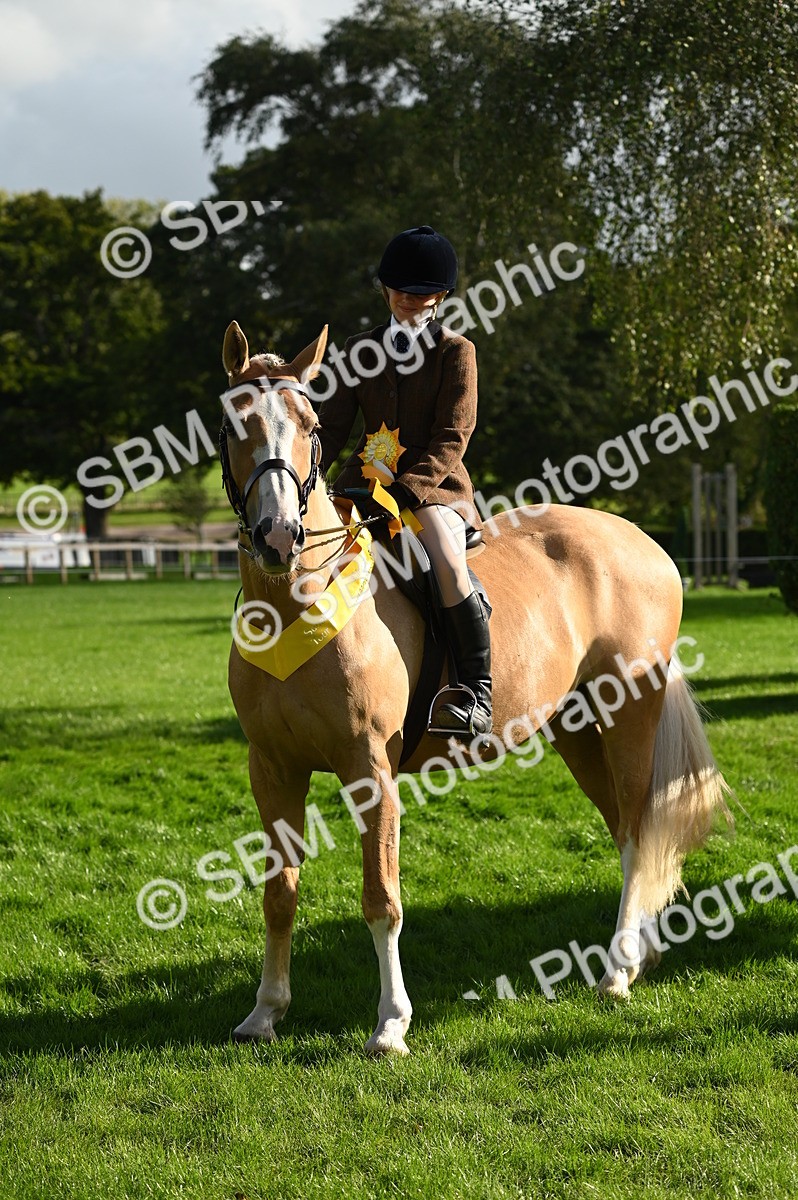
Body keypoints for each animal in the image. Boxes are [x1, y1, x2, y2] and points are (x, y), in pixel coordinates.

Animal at [219, 319, 732, 1056]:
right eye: (234, 424)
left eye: (310, 425)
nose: (279, 536)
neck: (295, 602)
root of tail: (644, 542)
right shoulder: (273, 767)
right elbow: (278, 892)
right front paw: (265, 1012)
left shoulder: (369, 769)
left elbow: (381, 898)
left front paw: (391, 1025)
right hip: (579, 730)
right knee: (625, 829)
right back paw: (642, 951)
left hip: (630, 715)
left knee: (639, 829)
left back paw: (615, 972)